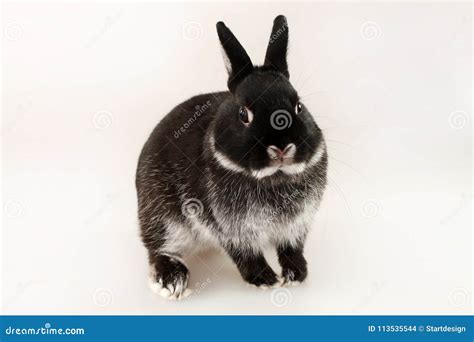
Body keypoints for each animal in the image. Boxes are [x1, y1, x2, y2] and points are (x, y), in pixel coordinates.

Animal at [135, 15, 328, 300]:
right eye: (243, 114)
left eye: (299, 107)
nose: (282, 148)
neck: (273, 178)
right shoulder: (230, 229)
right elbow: (245, 255)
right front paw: (265, 279)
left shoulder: (295, 227)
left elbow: (292, 249)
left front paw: (295, 275)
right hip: (163, 216)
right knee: (159, 249)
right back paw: (172, 282)